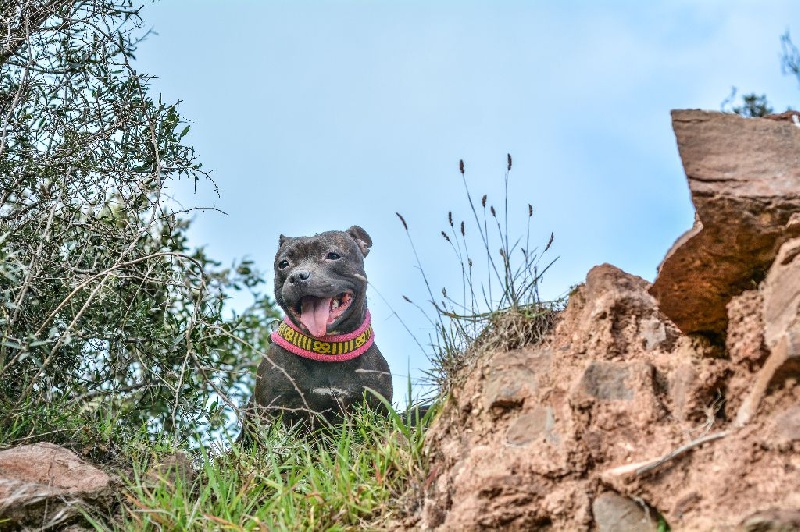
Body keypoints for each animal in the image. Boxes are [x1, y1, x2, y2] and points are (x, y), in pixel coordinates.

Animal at [245, 223, 392, 428]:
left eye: (333, 255)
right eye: (284, 264)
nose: (298, 277)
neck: (327, 350)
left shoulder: (376, 408)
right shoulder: (273, 412)